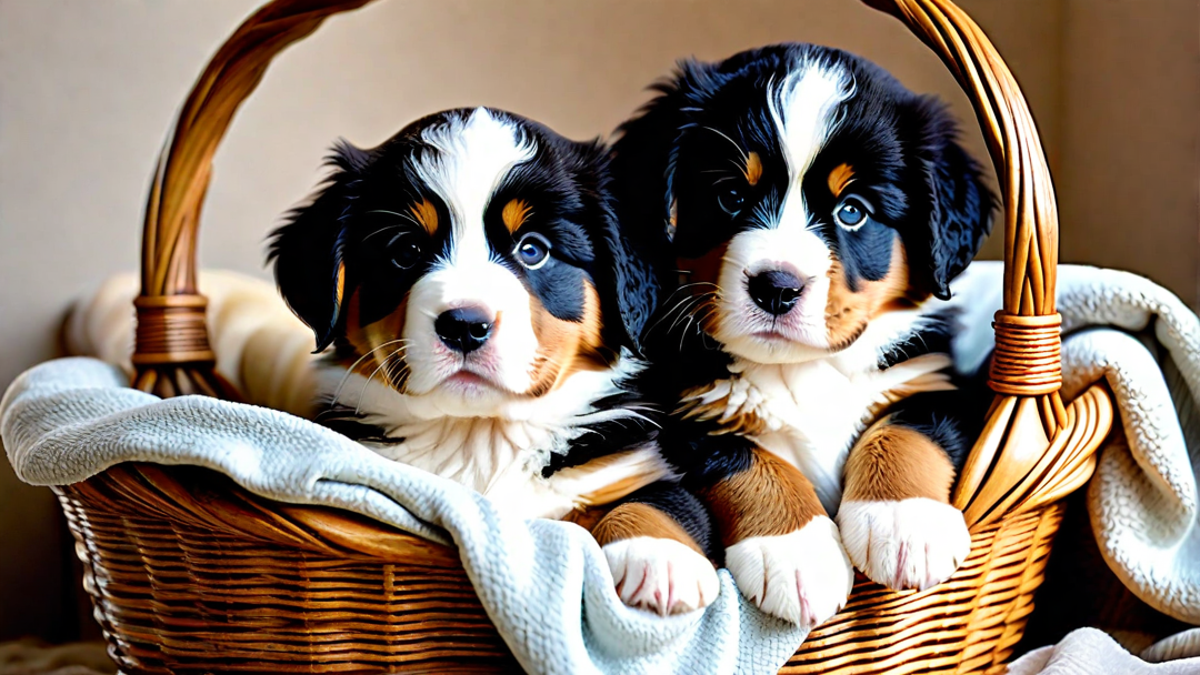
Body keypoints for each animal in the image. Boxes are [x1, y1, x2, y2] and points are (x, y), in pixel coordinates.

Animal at [271, 109, 715, 614]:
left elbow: (660, 498)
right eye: (406, 251)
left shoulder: (633, 462)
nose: (465, 325)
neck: (478, 438)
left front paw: (662, 560)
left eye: (533, 249)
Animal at [609, 45, 993, 624]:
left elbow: (907, 429)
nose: (777, 287)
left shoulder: (935, 378)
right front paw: (795, 552)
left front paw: (903, 522)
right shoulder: (680, 415)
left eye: (852, 210)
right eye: (730, 196)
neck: (798, 367)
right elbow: (747, 460)